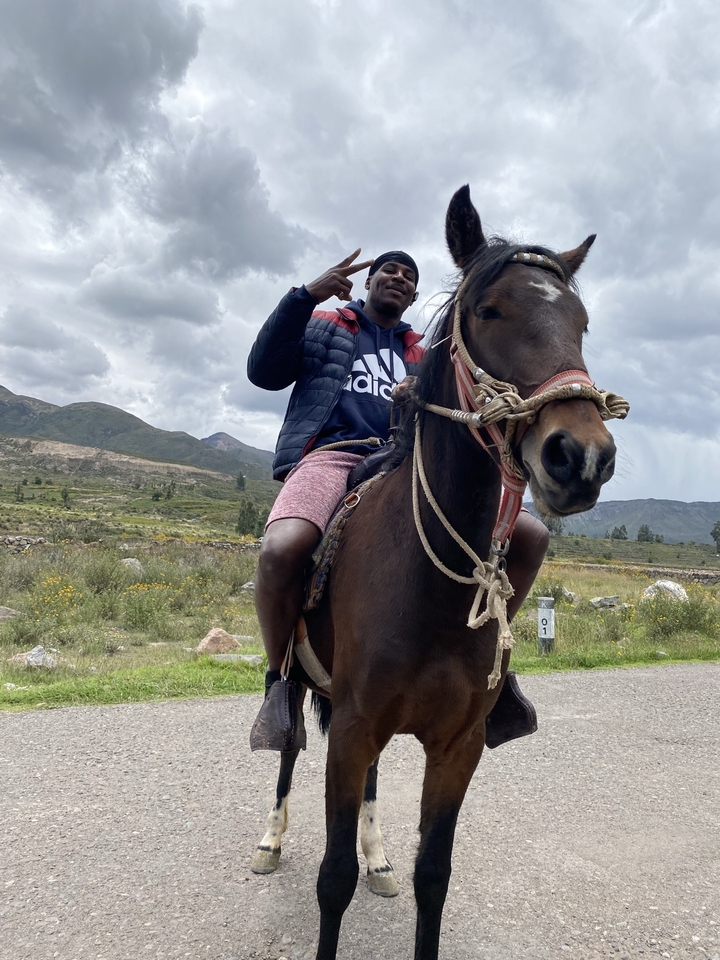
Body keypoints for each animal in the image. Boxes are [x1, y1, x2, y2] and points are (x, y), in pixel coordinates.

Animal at [251, 184, 628, 960]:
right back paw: (271, 838)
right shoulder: (355, 726)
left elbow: (434, 876)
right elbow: (331, 879)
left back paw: (378, 856)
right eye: (489, 311)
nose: (582, 456)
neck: (433, 584)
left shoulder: (457, 745)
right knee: (289, 744)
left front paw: (390, 863)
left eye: (580, 323)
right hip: (302, 683)